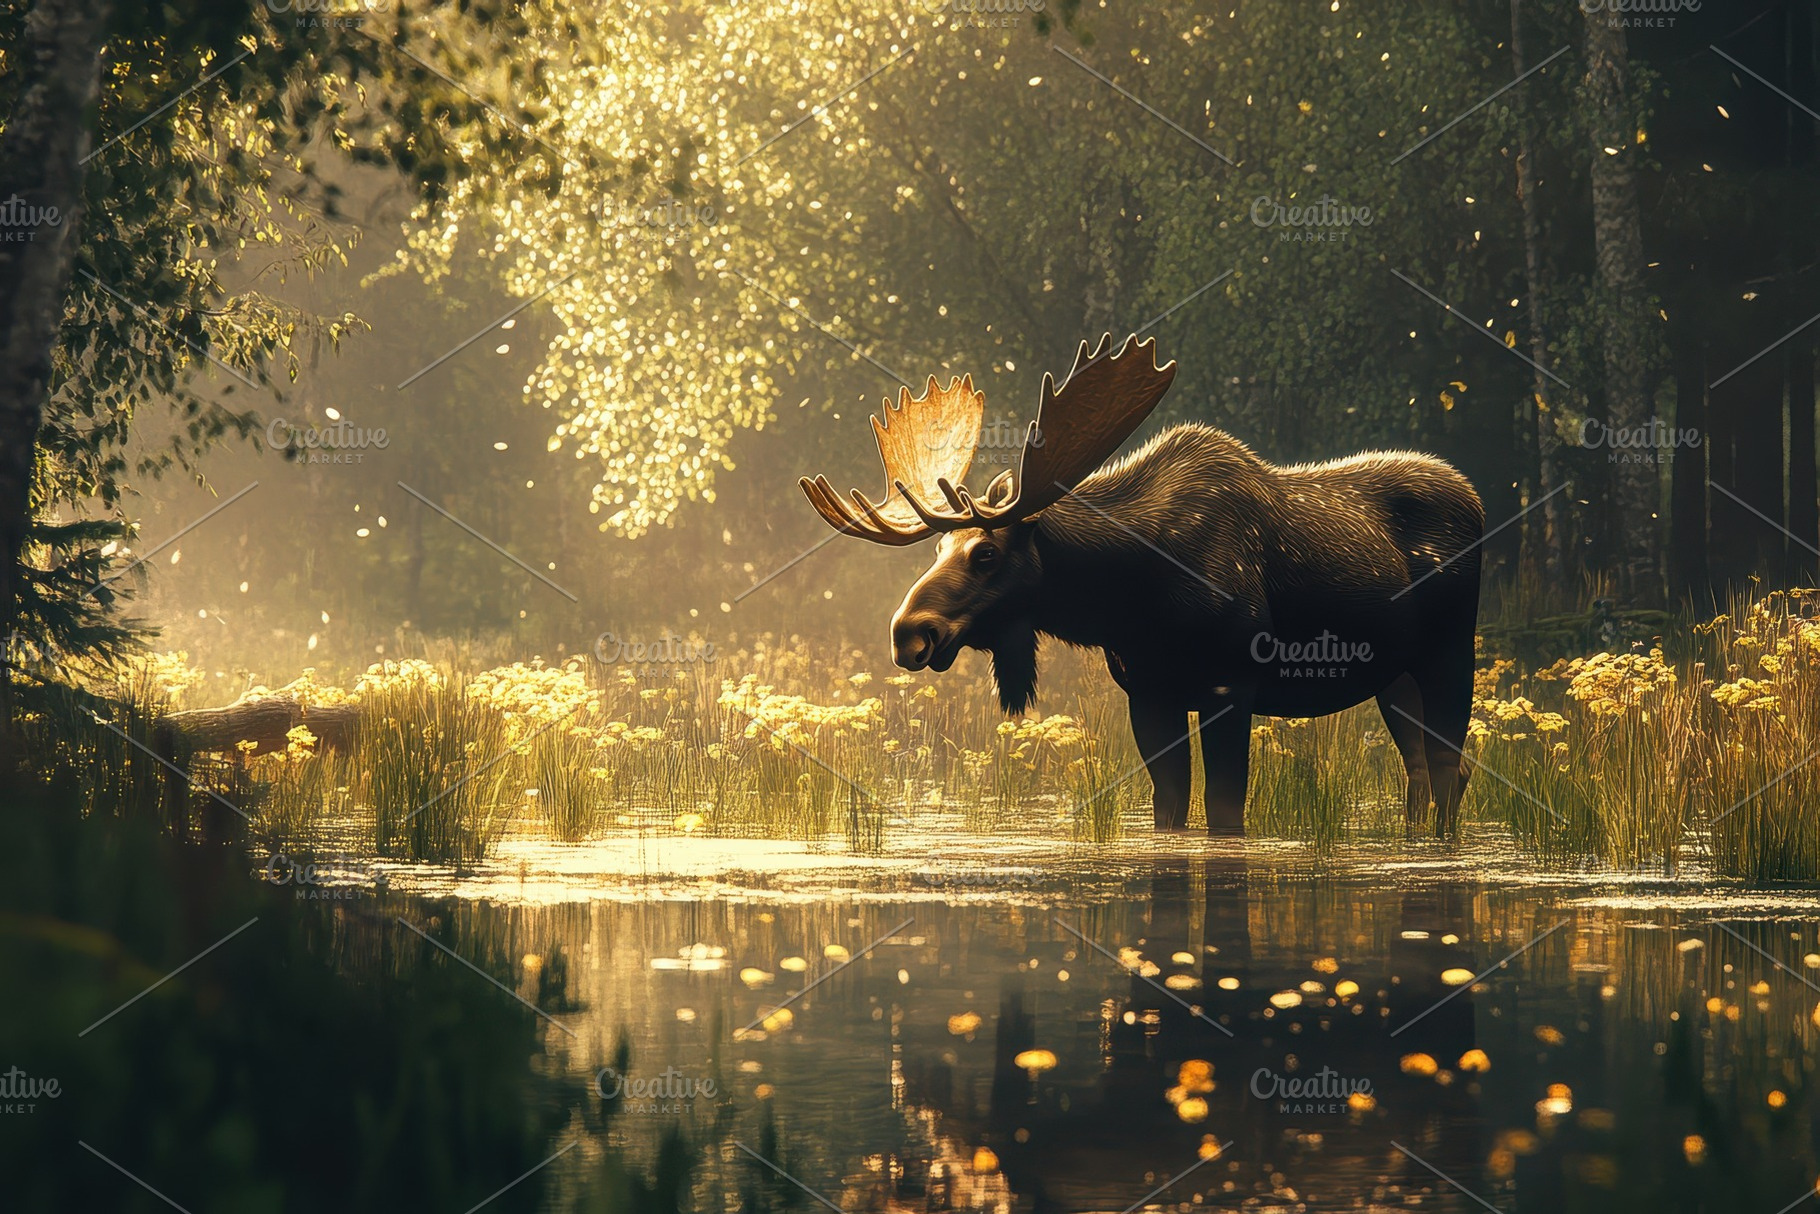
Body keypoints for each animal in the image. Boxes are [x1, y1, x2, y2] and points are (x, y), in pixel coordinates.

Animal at [800, 334, 1483, 836]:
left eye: (987, 551)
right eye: (940, 547)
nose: (908, 634)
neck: (1130, 600)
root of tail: (1476, 497)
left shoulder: (1232, 684)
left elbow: (1226, 814)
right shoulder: (1147, 692)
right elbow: (1170, 809)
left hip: (1451, 654)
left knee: (1450, 769)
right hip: (1393, 676)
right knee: (1423, 773)